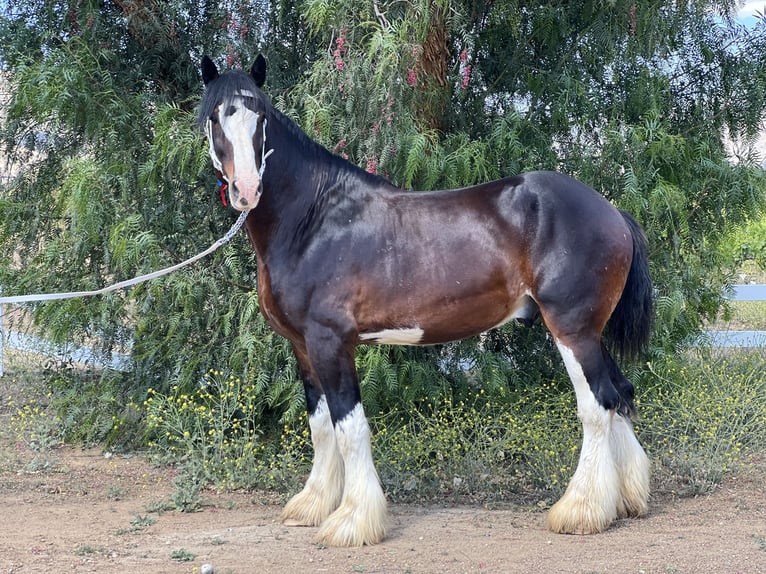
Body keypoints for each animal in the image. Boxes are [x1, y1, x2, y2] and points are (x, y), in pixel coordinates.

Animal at [200, 56, 656, 552]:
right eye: (214, 117)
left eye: (260, 117)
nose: (246, 189)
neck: (314, 219)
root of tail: (611, 212)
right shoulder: (303, 346)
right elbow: (321, 427)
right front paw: (313, 505)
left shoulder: (331, 342)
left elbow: (349, 428)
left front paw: (353, 520)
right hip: (590, 331)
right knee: (620, 393)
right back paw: (625, 500)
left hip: (571, 329)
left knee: (597, 405)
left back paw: (580, 511)